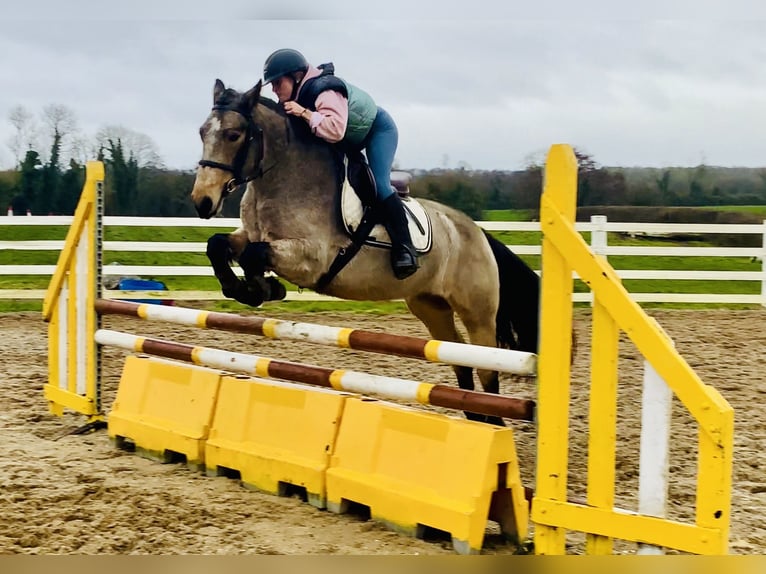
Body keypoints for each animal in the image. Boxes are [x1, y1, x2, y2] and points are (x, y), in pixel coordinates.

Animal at [190, 79, 540, 425]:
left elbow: (254, 255)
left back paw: (492, 421)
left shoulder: (313, 258)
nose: (202, 202)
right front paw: (244, 288)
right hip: (430, 306)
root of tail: (477, 233)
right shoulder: (251, 236)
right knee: (460, 359)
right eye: (202, 132)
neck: (284, 180)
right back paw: (475, 418)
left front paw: (264, 288)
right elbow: (219, 245)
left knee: (487, 369)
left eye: (234, 135)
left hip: (478, 314)